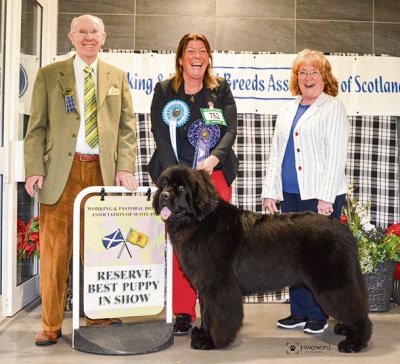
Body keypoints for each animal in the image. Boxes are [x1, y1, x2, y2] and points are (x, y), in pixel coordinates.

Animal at [153, 165, 372, 352]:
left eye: (181, 187)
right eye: (165, 184)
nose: (163, 195)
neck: (201, 221)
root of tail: (343, 228)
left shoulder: (218, 285)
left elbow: (217, 315)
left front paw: (212, 341)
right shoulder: (206, 286)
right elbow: (207, 314)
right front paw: (203, 337)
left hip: (331, 281)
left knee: (355, 308)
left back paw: (355, 342)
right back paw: (346, 329)